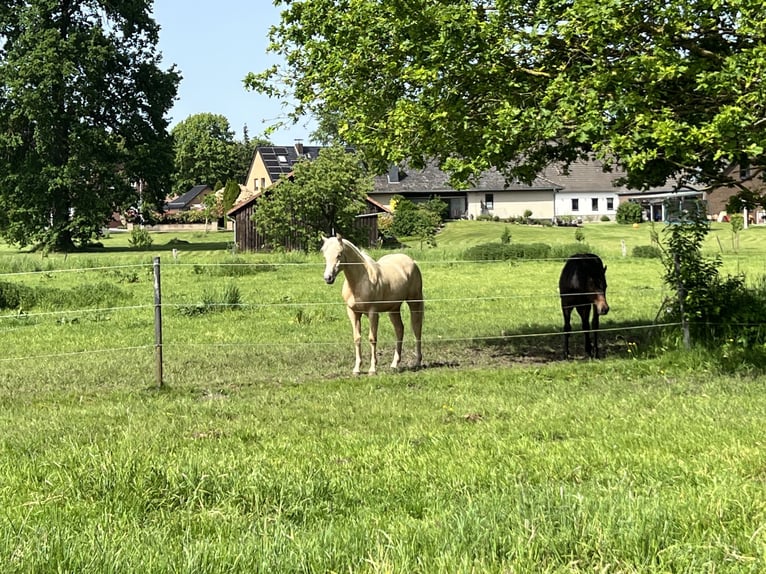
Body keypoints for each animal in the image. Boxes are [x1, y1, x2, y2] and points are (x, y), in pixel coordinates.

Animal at [321, 234, 423, 374]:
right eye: (324, 255)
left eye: (339, 254)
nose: (328, 278)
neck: (360, 282)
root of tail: (412, 262)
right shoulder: (353, 312)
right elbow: (357, 338)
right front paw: (357, 369)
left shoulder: (372, 313)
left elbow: (372, 338)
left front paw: (372, 369)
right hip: (394, 308)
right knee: (399, 329)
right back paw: (394, 364)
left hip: (414, 302)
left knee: (417, 328)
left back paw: (417, 362)